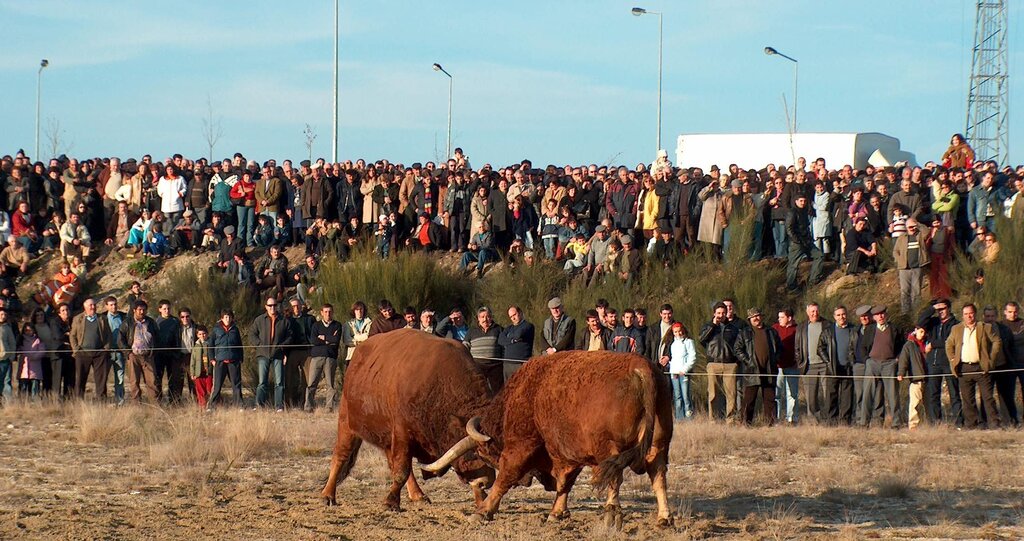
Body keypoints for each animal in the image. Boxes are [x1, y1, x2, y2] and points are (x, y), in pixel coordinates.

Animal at [321, 327, 493, 510]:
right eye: (475, 453)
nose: (487, 482)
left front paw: (482, 500)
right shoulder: (402, 433)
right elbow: (401, 470)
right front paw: (390, 502)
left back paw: (418, 494)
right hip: (347, 422)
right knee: (341, 455)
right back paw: (328, 494)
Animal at [421, 350, 671, 528]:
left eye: (485, 454)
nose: (526, 482)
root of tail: (641, 368)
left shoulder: (520, 446)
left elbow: (505, 478)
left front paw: (483, 511)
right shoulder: (568, 453)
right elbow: (566, 483)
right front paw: (557, 512)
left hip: (609, 449)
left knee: (614, 479)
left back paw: (612, 513)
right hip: (657, 447)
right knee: (658, 477)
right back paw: (664, 518)